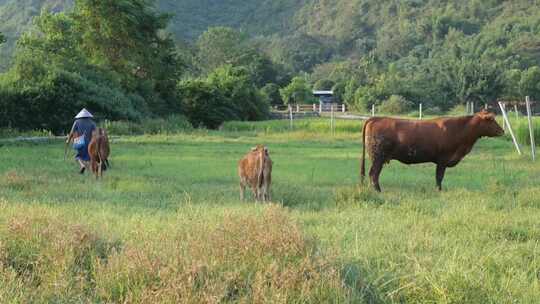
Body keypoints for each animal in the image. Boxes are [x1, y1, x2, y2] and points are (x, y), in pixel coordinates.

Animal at [360, 111, 504, 192]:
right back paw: (378, 191)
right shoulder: (443, 160)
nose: (502, 131)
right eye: (491, 120)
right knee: (373, 174)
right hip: (378, 157)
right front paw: (439, 190)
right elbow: (439, 177)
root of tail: (376, 118)